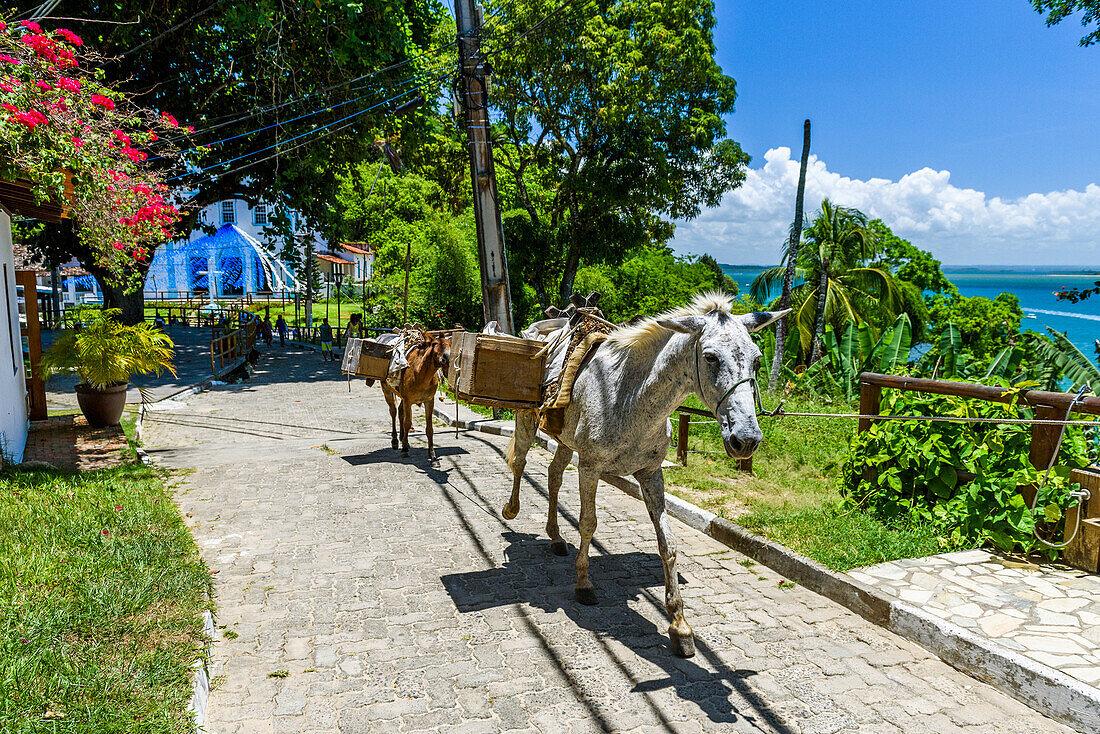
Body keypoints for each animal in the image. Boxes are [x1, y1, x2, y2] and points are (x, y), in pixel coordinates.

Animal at [503, 292, 787, 660]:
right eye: (710, 357)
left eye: (756, 360)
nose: (746, 440)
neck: (631, 397)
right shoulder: (590, 468)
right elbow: (588, 524)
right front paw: (584, 584)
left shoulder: (650, 474)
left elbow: (668, 544)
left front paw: (680, 625)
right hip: (526, 421)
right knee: (520, 461)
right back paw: (511, 510)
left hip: (564, 442)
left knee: (552, 476)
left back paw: (555, 537)